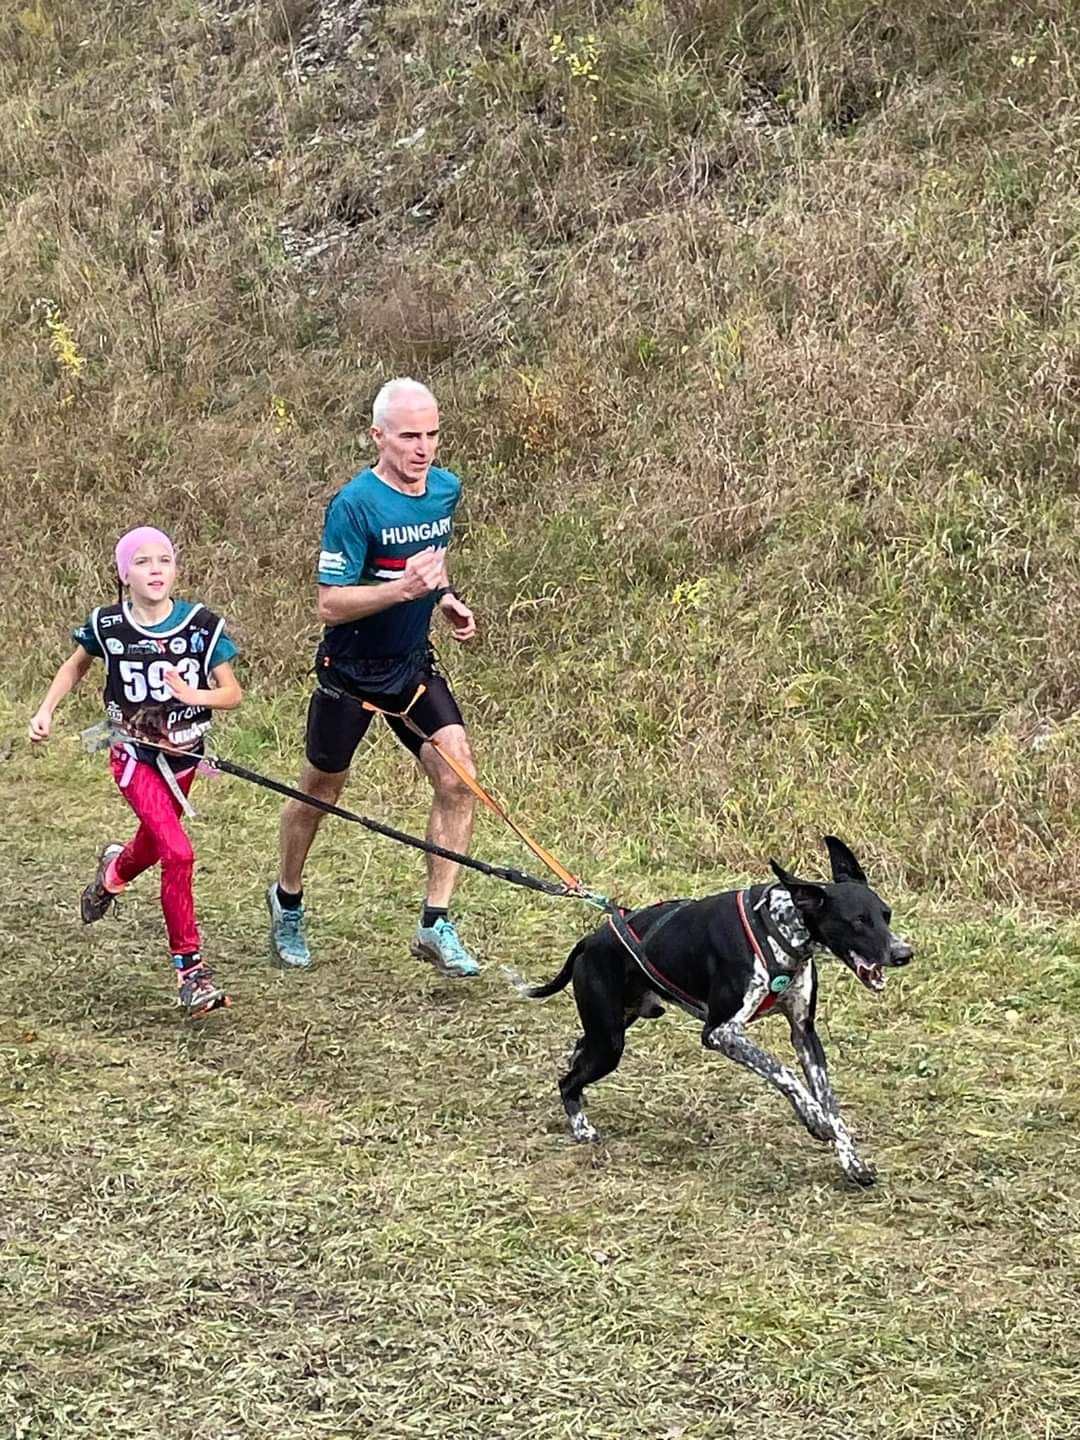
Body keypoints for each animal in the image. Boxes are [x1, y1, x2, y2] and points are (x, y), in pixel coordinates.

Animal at [515, 840, 915, 1186]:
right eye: (858, 921)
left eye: (886, 915)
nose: (904, 954)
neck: (776, 929)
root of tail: (591, 940)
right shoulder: (721, 1033)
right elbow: (782, 1072)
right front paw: (813, 1117)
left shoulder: (804, 1033)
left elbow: (829, 1102)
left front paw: (851, 1160)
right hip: (610, 1042)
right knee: (567, 1081)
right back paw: (581, 1127)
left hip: (610, 1028)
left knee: (578, 1051)